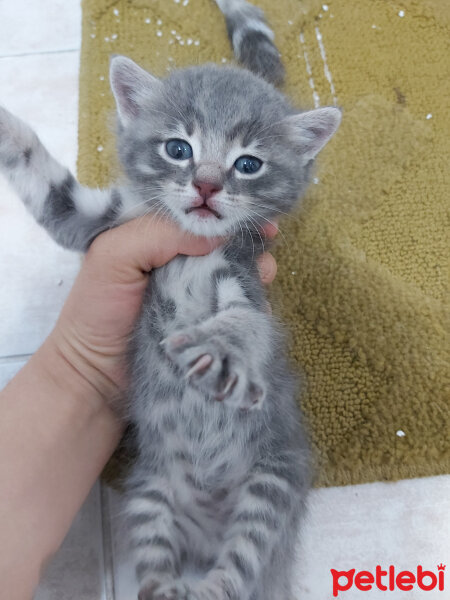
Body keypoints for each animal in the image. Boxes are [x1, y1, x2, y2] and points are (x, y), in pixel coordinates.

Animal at [0, 1, 338, 600]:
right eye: (178, 149)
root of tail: (206, 535)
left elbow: (245, 323)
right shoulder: (100, 228)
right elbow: (48, 185)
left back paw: (212, 583)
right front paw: (3, 125)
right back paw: (165, 586)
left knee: (243, 564)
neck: (189, 250)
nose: (205, 185)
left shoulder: (242, 274)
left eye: (248, 164)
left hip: (273, 483)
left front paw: (218, 351)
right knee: (157, 554)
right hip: (150, 489)